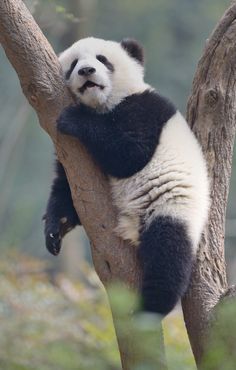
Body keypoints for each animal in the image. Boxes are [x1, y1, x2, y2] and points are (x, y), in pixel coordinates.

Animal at [43, 36, 208, 316]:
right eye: (74, 64)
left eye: (102, 59)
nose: (86, 71)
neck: (103, 105)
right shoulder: (69, 153)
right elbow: (65, 186)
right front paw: (56, 229)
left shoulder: (145, 109)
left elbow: (131, 154)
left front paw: (75, 119)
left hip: (173, 207)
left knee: (168, 255)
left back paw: (151, 308)